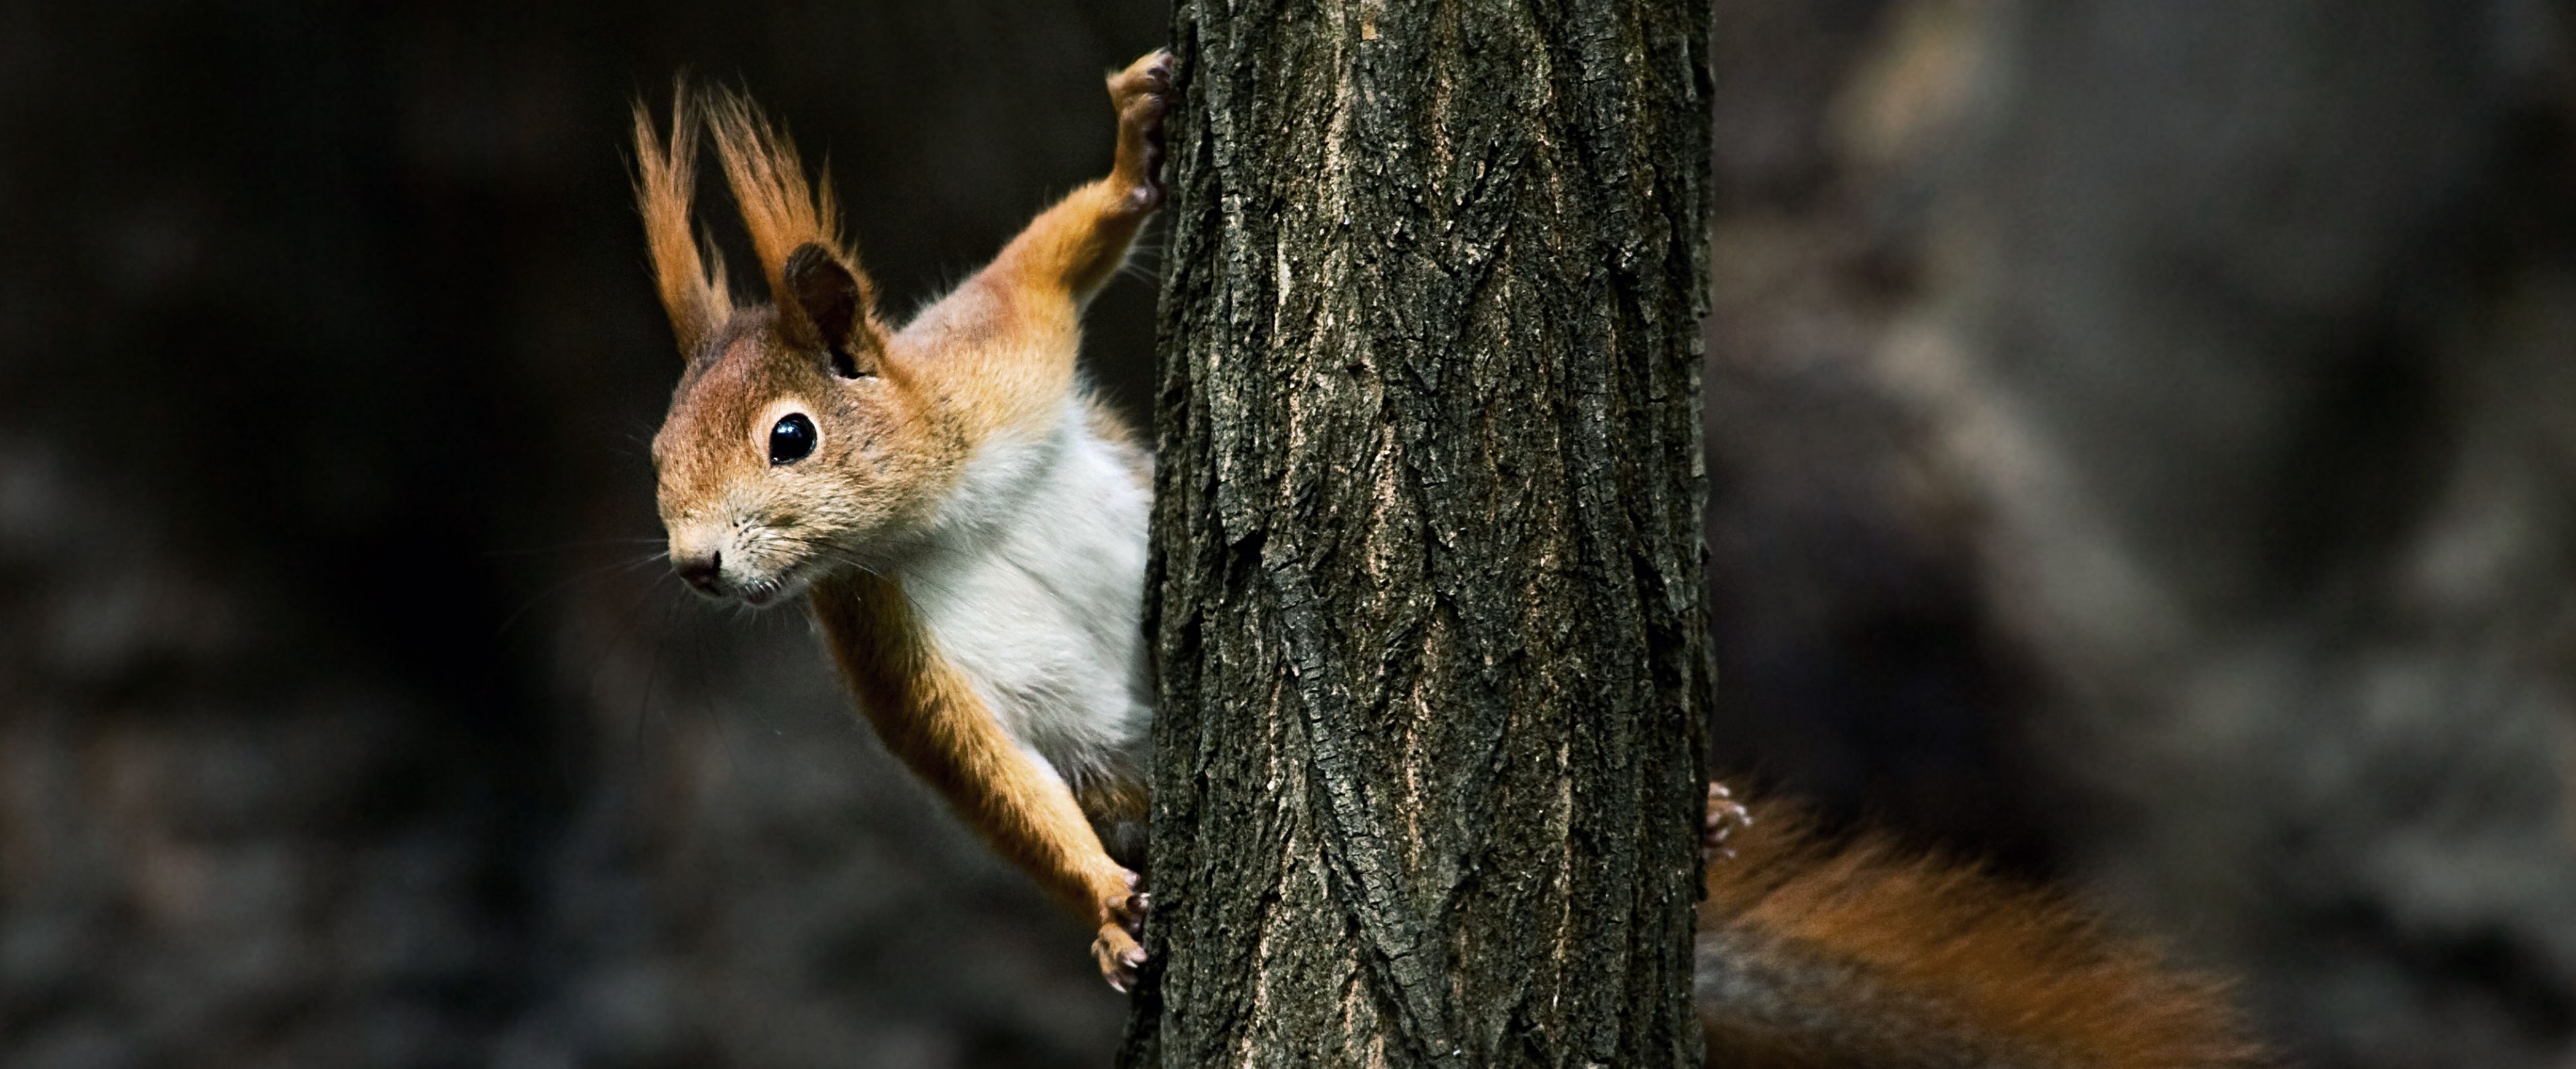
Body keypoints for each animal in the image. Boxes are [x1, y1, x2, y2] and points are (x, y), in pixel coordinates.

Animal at [630, 49, 2267, 1066]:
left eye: (790, 437)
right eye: (653, 456)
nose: (695, 566)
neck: (931, 506)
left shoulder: (995, 361)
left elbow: (1052, 256)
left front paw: (1138, 146)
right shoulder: (879, 636)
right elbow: (983, 768)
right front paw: (1097, 900)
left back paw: (1707, 805)